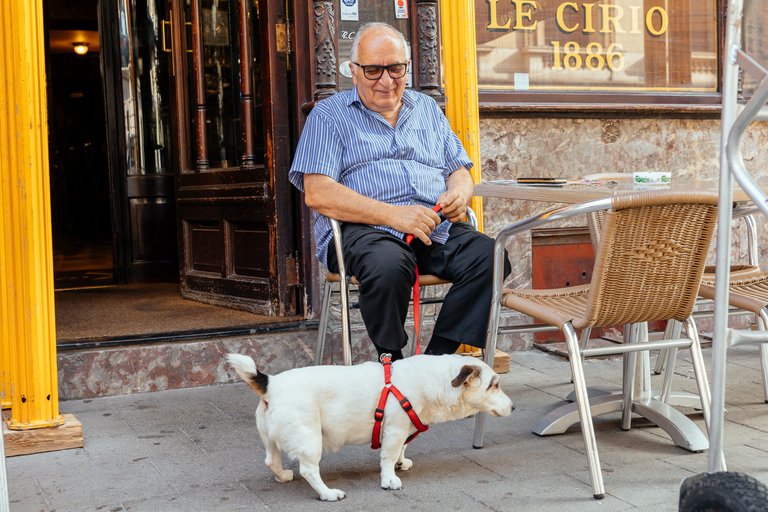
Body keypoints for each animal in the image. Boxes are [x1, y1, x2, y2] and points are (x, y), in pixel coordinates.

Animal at [228, 352, 516, 500]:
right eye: (494, 385)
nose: (514, 407)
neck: (436, 380)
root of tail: (271, 383)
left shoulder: (402, 431)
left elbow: (401, 450)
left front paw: (401, 462)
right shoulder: (395, 430)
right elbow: (387, 457)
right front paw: (389, 478)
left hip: (271, 438)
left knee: (271, 460)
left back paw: (282, 476)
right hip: (310, 440)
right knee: (309, 470)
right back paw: (328, 494)